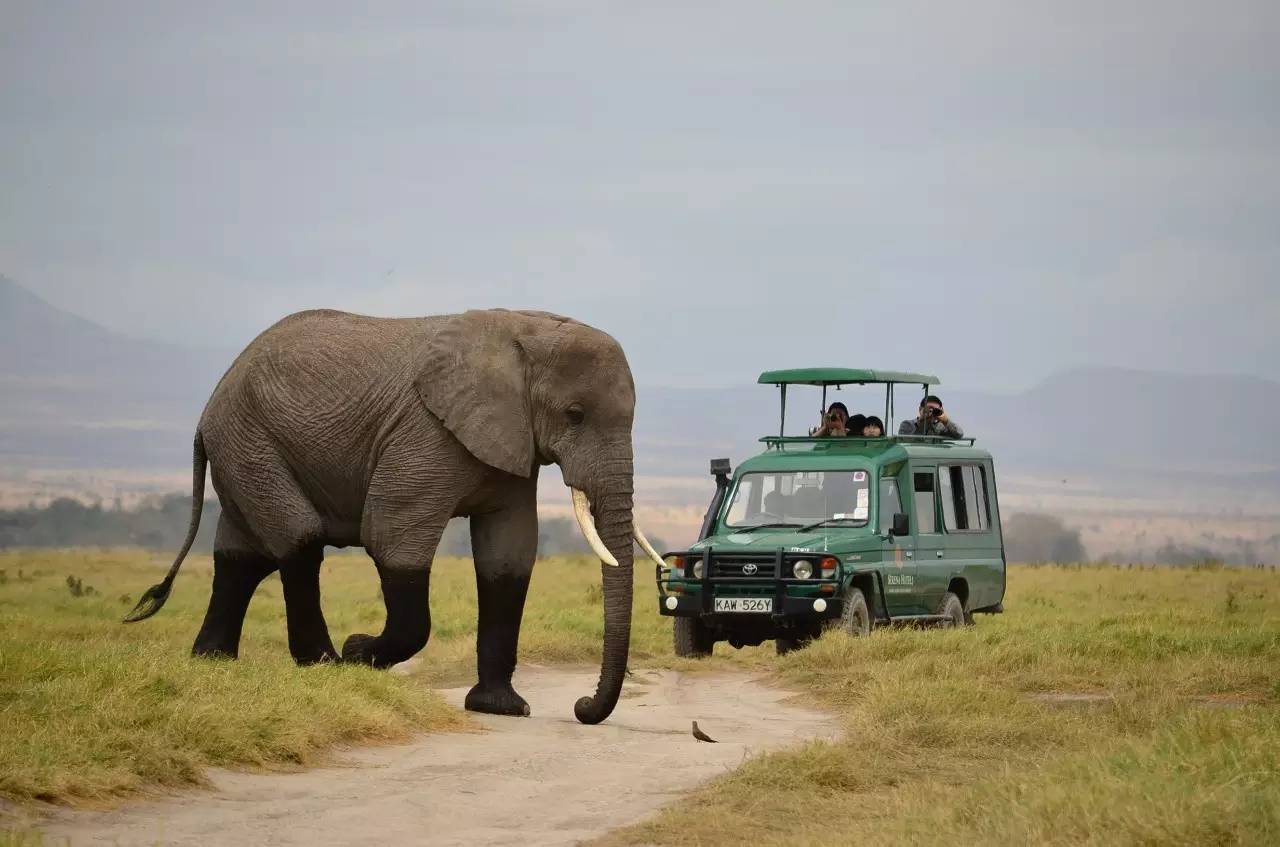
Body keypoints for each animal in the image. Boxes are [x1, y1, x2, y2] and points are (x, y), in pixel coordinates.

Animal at [123, 308, 665, 726]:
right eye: (574, 414)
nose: (581, 705)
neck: (524, 328)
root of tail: (209, 405)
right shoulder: (425, 434)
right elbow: (391, 537)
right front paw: (359, 653)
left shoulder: (511, 440)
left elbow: (508, 556)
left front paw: (501, 709)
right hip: (250, 442)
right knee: (299, 538)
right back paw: (323, 664)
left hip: (244, 449)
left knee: (242, 555)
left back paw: (212, 662)